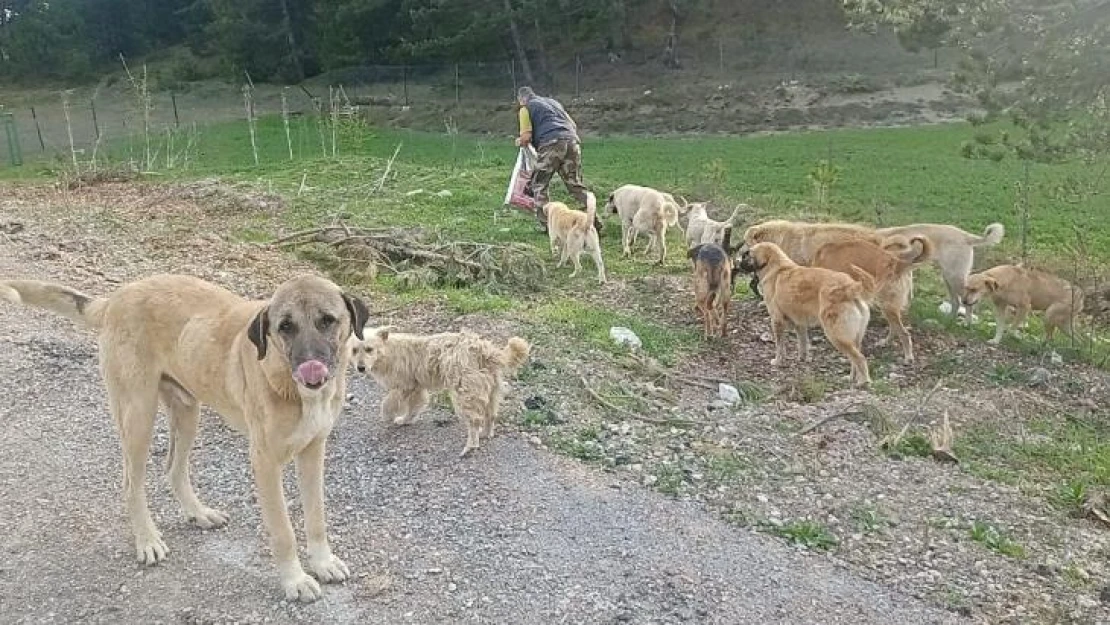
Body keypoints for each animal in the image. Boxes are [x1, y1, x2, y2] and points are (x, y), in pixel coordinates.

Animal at [0, 273, 372, 599]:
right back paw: (147, 540)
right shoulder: (265, 462)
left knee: (173, 470)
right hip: (138, 415)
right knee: (131, 484)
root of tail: (117, 298)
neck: (295, 389)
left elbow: (316, 517)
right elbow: (283, 531)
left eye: (327, 320)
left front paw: (323, 563)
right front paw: (295, 580)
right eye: (285, 327)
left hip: (186, 412)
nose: (311, 365)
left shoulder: (313, 450)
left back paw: (199, 513)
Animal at [350, 330, 532, 457]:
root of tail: (485, 349)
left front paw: (388, 416)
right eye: (354, 350)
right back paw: (485, 433)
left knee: (474, 421)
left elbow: (388, 403)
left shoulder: (404, 386)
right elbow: (414, 407)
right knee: (490, 415)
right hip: (491, 389)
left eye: (369, 349)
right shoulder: (416, 388)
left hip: (465, 393)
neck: (388, 350)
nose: (360, 368)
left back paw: (470, 446)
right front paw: (406, 420)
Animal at [737, 243, 874, 386]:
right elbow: (802, 343)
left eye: (747, 254)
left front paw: (778, 361)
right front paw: (802, 359)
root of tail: (849, 287)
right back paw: (851, 378)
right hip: (854, 338)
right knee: (854, 358)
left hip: (836, 335)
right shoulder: (800, 324)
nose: (737, 264)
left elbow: (780, 346)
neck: (776, 267)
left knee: (860, 358)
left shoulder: (777, 321)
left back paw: (863, 382)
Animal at [812, 233, 932, 361]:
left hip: (887, 306)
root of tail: (896, 262)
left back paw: (908, 356)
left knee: (904, 333)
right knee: (894, 327)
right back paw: (885, 342)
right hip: (886, 307)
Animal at [874, 220, 1007, 317]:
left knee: (967, 304)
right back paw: (949, 321)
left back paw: (966, 325)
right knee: (956, 302)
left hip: (954, 278)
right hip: (948, 279)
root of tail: (965, 235)